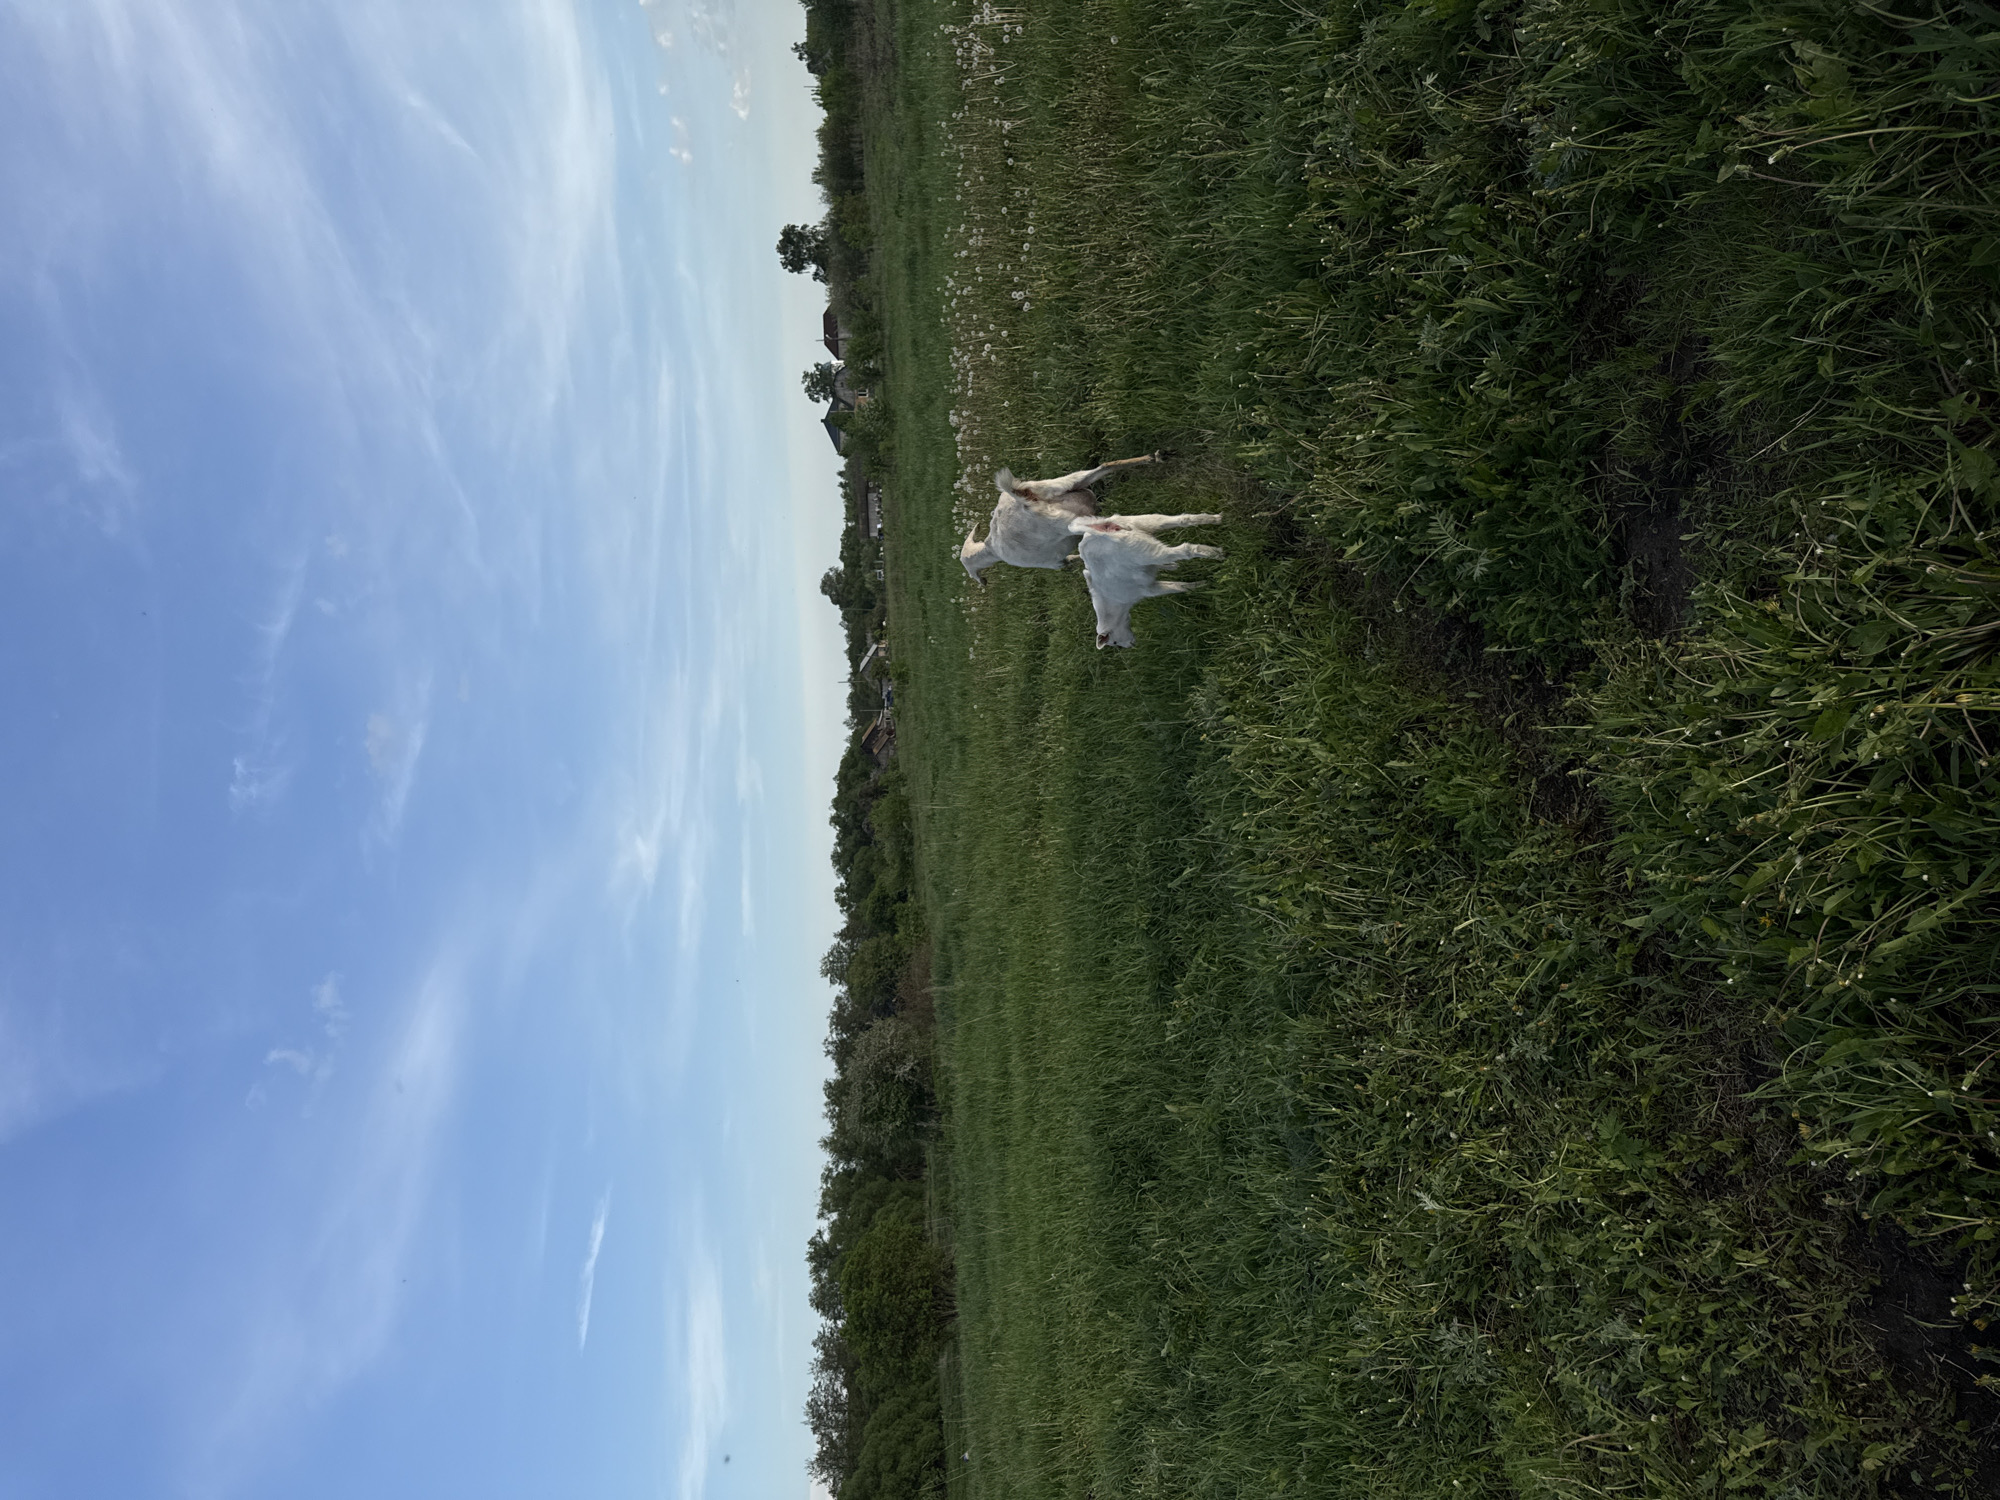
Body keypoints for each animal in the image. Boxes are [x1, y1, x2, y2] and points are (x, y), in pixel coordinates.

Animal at [957, 453, 1164, 585]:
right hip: (1061, 483)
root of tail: (1025, 500)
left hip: (1065, 522)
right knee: (1104, 466)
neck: (990, 549)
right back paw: (1154, 457)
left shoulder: (1056, 563)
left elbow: (1073, 560)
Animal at [1068, 512, 1224, 649]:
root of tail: (1103, 533)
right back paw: (1216, 519)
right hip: (1143, 523)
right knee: (1183, 519)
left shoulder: (1148, 590)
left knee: (1186, 549)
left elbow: (1178, 586)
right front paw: (1173, 567)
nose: (1131, 645)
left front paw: (1200, 586)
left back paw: (1217, 554)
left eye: (1114, 643)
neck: (1115, 605)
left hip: (1144, 551)